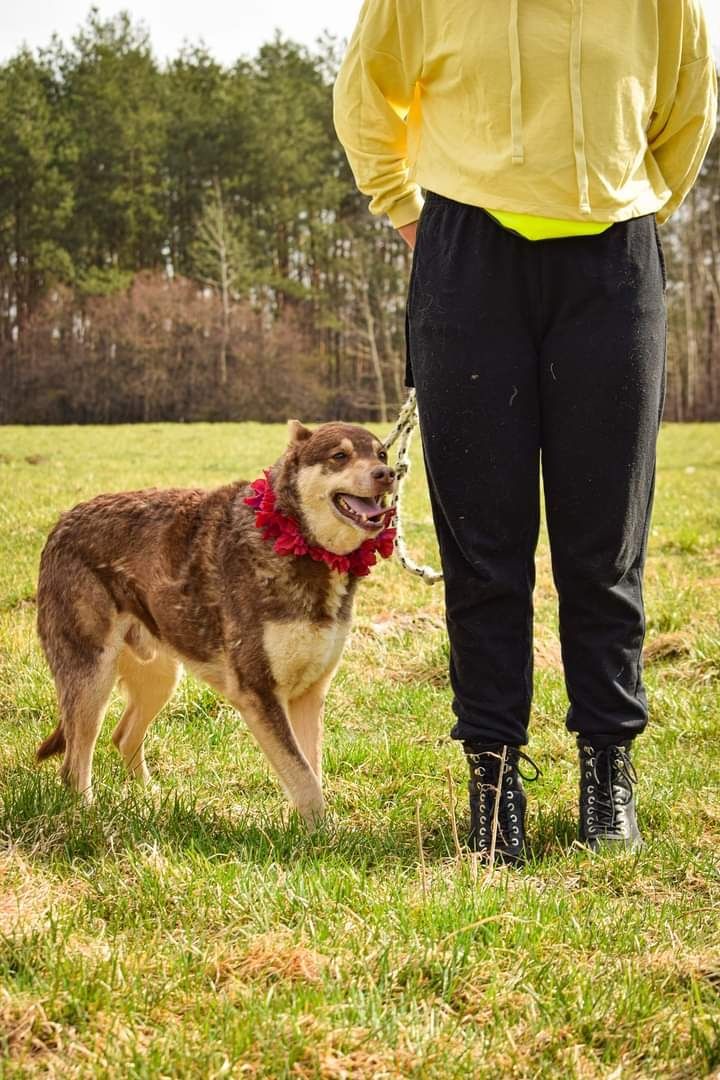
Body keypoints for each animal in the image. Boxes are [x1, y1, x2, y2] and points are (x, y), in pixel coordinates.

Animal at [35, 421, 395, 825]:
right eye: (340, 456)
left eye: (381, 454)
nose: (388, 474)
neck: (300, 541)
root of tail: (62, 522)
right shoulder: (258, 691)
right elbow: (303, 777)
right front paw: (323, 834)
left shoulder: (310, 693)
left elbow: (310, 770)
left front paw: (309, 829)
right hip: (92, 678)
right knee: (73, 765)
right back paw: (89, 816)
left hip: (160, 677)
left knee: (123, 735)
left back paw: (150, 800)